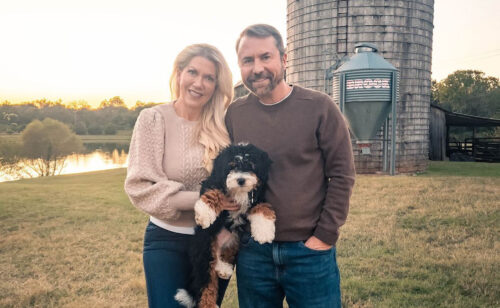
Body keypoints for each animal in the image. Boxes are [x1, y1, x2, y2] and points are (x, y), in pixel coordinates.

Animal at [175, 143, 278, 306]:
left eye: (250, 165)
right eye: (232, 166)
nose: (241, 180)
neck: (239, 192)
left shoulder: (257, 196)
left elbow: (263, 207)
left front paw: (264, 233)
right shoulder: (213, 181)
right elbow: (214, 192)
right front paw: (204, 213)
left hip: (233, 242)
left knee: (218, 260)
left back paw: (224, 269)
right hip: (204, 250)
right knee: (206, 285)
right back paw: (209, 304)